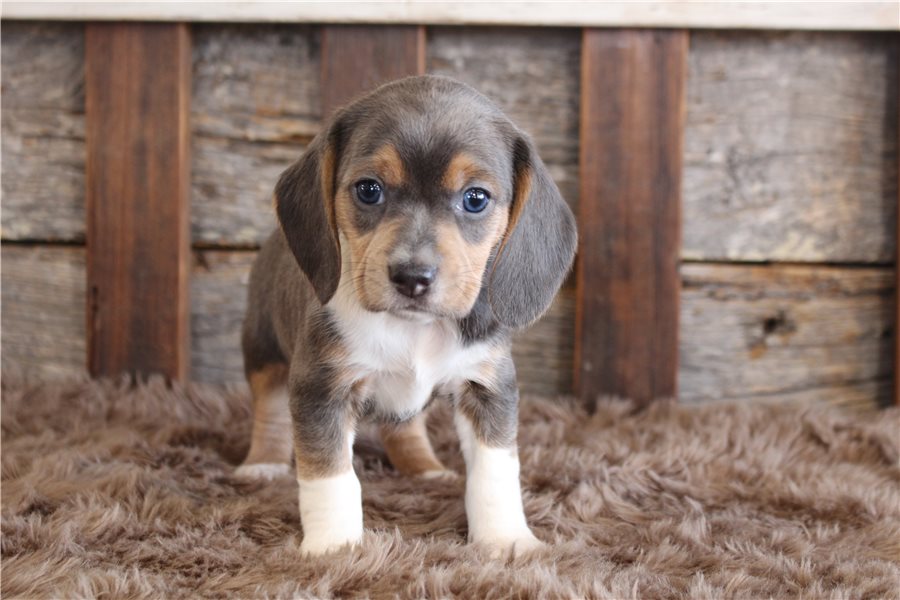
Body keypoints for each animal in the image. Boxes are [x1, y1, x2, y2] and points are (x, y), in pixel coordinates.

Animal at [235, 75, 577, 556]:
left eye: (476, 199)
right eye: (369, 189)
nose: (412, 276)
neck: (412, 328)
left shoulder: (489, 387)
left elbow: (495, 474)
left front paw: (506, 540)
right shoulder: (321, 387)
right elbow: (329, 477)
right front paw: (334, 548)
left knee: (406, 427)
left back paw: (425, 467)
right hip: (263, 348)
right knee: (268, 407)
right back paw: (261, 464)